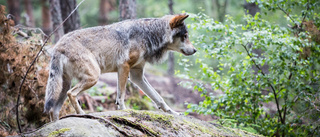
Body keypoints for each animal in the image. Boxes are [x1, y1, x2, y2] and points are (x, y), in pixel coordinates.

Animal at [43, 13, 196, 121]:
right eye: (185, 36)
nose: (195, 50)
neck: (148, 34)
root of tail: (58, 45)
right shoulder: (124, 67)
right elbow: (121, 95)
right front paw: (124, 110)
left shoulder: (136, 75)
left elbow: (158, 98)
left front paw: (174, 112)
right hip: (93, 77)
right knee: (72, 94)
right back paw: (81, 114)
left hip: (65, 85)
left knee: (53, 110)